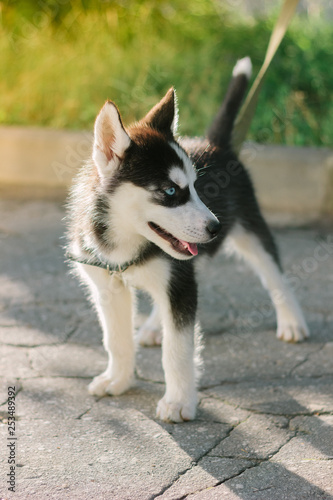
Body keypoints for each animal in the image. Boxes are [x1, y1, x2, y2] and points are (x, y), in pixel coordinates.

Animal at [66, 55, 308, 422]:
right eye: (170, 191)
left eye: (195, 186)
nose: (215, 228)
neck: (126, 243)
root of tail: (216, 143)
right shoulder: (109, 286)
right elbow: (116, 340)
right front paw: (118, 379)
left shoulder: (179, 282)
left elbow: (177, 350)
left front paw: (179, 401)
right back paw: (154, 327)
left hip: (251, 229)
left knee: (274, 273)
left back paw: (292, 320)